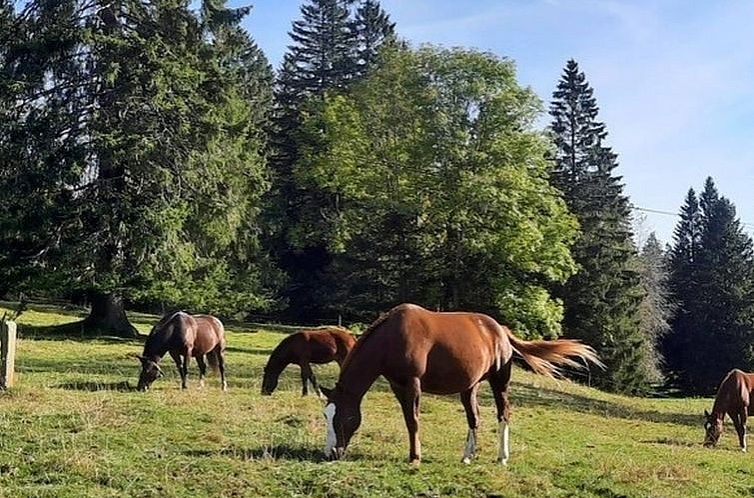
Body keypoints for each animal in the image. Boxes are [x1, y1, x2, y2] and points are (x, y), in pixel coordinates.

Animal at [320, 302, 604, 464]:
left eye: (344, 417)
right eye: (326, 416)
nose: (330, 453)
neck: (392, 338)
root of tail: (500, 330)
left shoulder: (413, 384)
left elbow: (413, 421)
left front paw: (415, 458)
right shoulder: (397, 385)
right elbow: (409, 420)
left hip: (499, 382)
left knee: (504, 414)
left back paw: (502, 457)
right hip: (470, 387)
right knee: (474, 418)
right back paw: (468, 456)